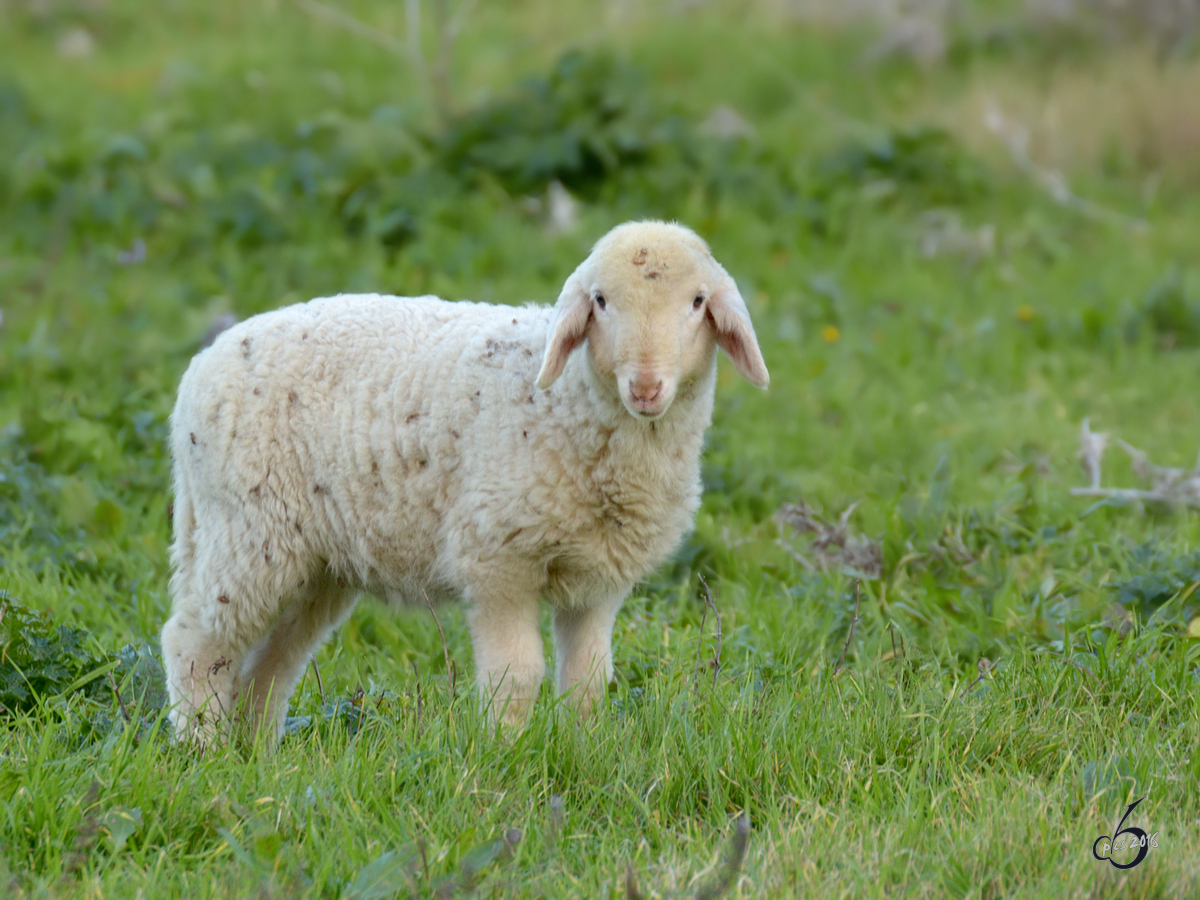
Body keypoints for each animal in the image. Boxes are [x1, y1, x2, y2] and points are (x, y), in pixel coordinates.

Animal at [159, 217, 768, 739]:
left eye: (697, 302)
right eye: (600, 301)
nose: (645, 387)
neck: (568, 404)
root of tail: (198, 370)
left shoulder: (599, 579)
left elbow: (588, 681)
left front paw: (581, 750)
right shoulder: (498, 560)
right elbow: (515, 677)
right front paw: (506, 756)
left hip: (316, 564)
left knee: (267, 669)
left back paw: (260, 761)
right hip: (248, 530)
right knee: (196, 643)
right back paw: (203, 749)